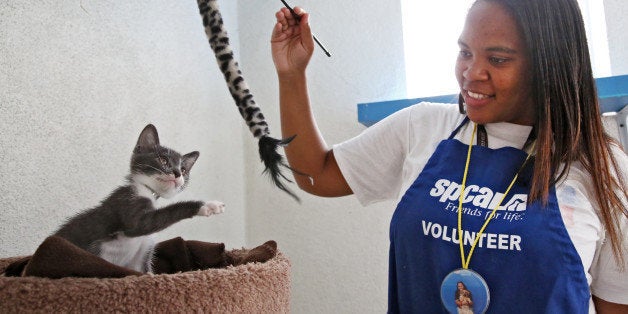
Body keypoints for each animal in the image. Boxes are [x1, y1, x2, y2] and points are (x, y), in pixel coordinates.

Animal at [53, 124, 226, 272]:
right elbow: (163, 215)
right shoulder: (127, 204)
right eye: (163, 160)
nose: (177, 173)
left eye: (183, 170)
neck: (148, 191)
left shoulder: (141, 255)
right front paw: (207, 205)